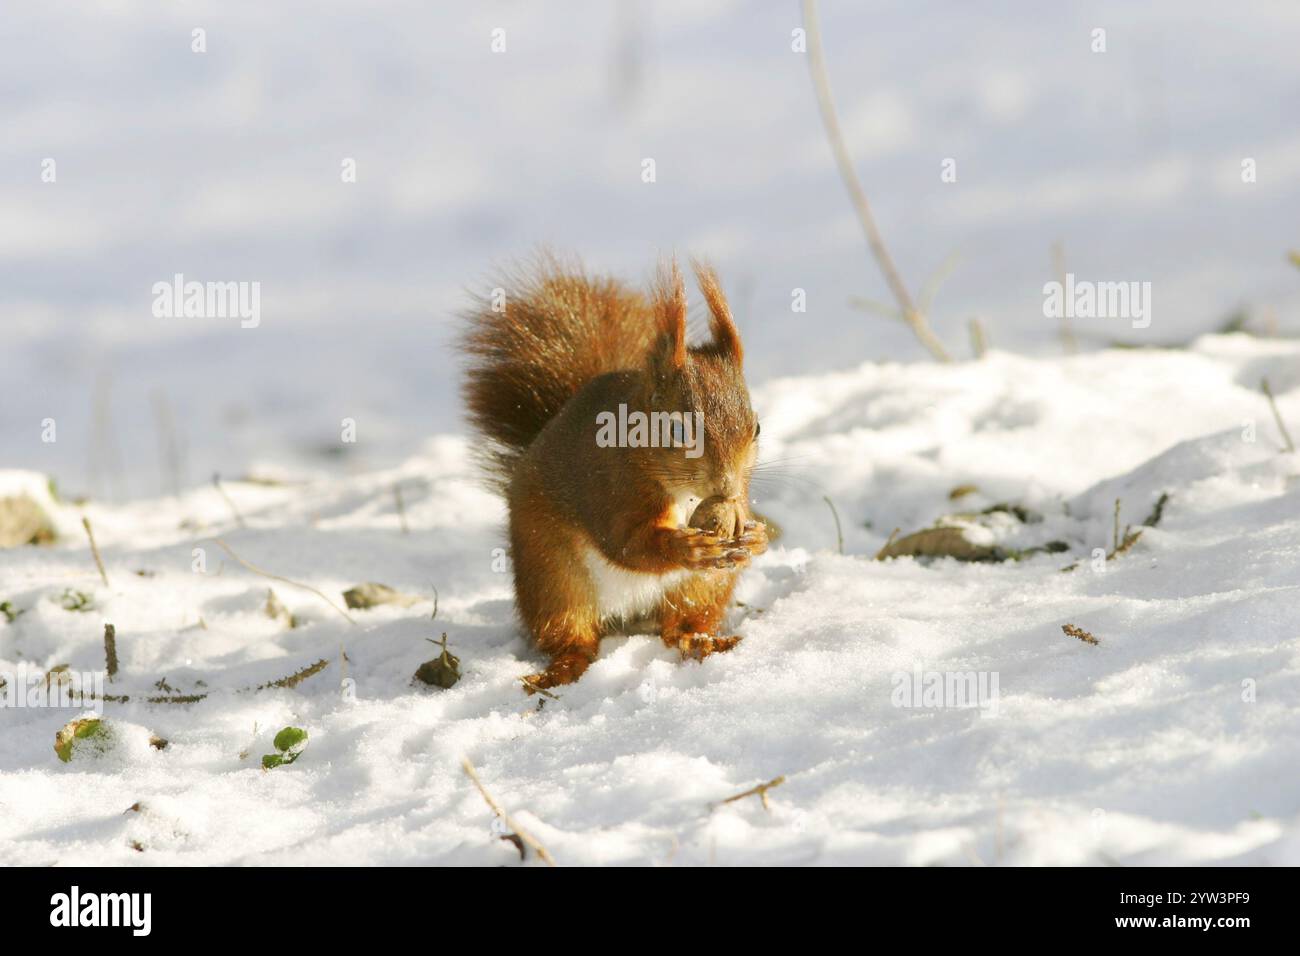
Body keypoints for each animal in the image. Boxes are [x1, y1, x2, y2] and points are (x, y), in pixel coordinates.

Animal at [461, 255, 768, 691]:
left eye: (756, 428)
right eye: (677, 431)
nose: (725, 486)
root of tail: (629, 615)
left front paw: (756, 537)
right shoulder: (608, 486)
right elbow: (624, 543)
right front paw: (684, 547)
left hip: (703, 586)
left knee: (679, 627)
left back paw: (701, 641)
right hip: (554, 578)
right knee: (571, 636)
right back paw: (561, 669)